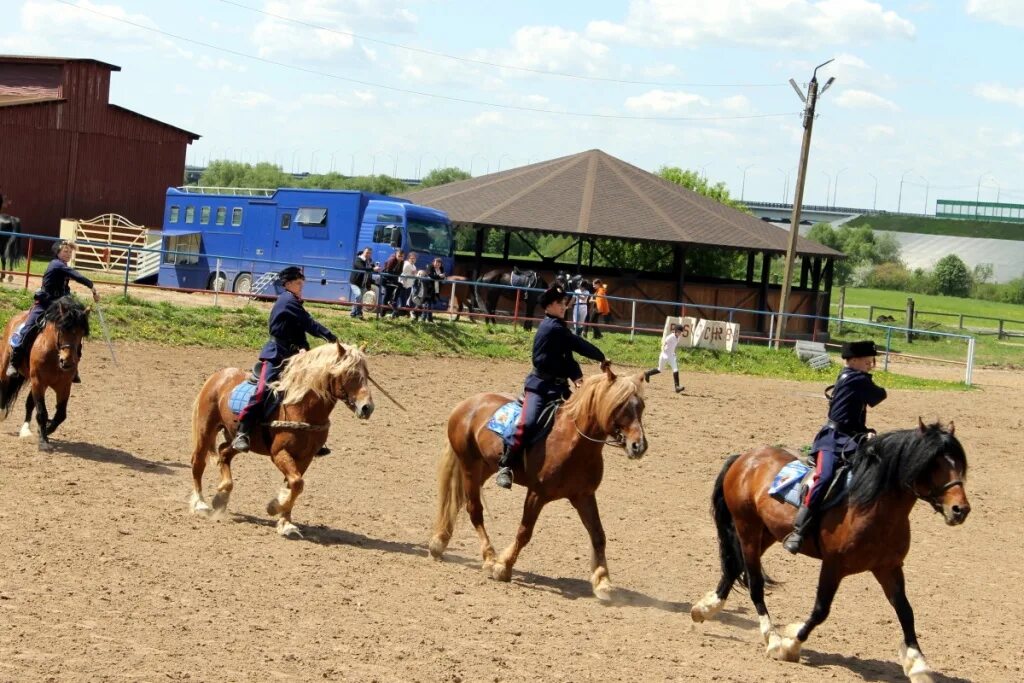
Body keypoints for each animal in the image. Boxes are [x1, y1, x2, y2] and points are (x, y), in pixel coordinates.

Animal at [0, 294, 91, 450]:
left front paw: (46, 430)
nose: (67, 362)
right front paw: (43, 442)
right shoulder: (39, 381)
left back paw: (26, 430)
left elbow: (61, 414)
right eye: (62, 329)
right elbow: (42, 412)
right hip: (6, 367)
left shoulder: (64, 386)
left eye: (81, 333)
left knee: (30, 403)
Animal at [188, 342, 372, 540]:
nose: (367, 407)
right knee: (198, 463)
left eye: (366, 374)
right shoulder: (279, 453)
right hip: (206, 430)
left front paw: (285, 522)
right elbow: (297, 483)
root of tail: (219, 375)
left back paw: (222, 497)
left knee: (224, 451)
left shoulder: (305, 457)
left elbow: (294, 485)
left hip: (238, 438)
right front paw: (274, 507)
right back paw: (200, 503)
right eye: (349, 373)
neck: (301, 407)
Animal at [428, 366, 651, 602]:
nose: (638, 446)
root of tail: (467, 404)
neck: (572, 442)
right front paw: (503, 566)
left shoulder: (584, 496)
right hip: (469, 466)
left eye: (641, 406)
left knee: (459, 500)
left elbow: (598, 536)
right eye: (619, 406)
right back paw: (488, 557)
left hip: (485, 467)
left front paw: (603, 582)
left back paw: (439, 542)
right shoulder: (537, 494)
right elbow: (524, 532)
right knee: (474, 510)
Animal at [688, 421, 966, 683]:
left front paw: (918, 665)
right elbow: (821, 610)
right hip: (747, 528)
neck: (871, 508)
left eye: (960, 464)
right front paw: (790, 645)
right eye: (932, 463)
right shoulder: (834, 565)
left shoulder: (888, 567)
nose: (960, 510)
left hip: (766, 533)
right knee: (755, 583)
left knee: (735, 567)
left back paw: (705, 608)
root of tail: (745, 457)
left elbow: (906, 612)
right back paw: (772, 638)